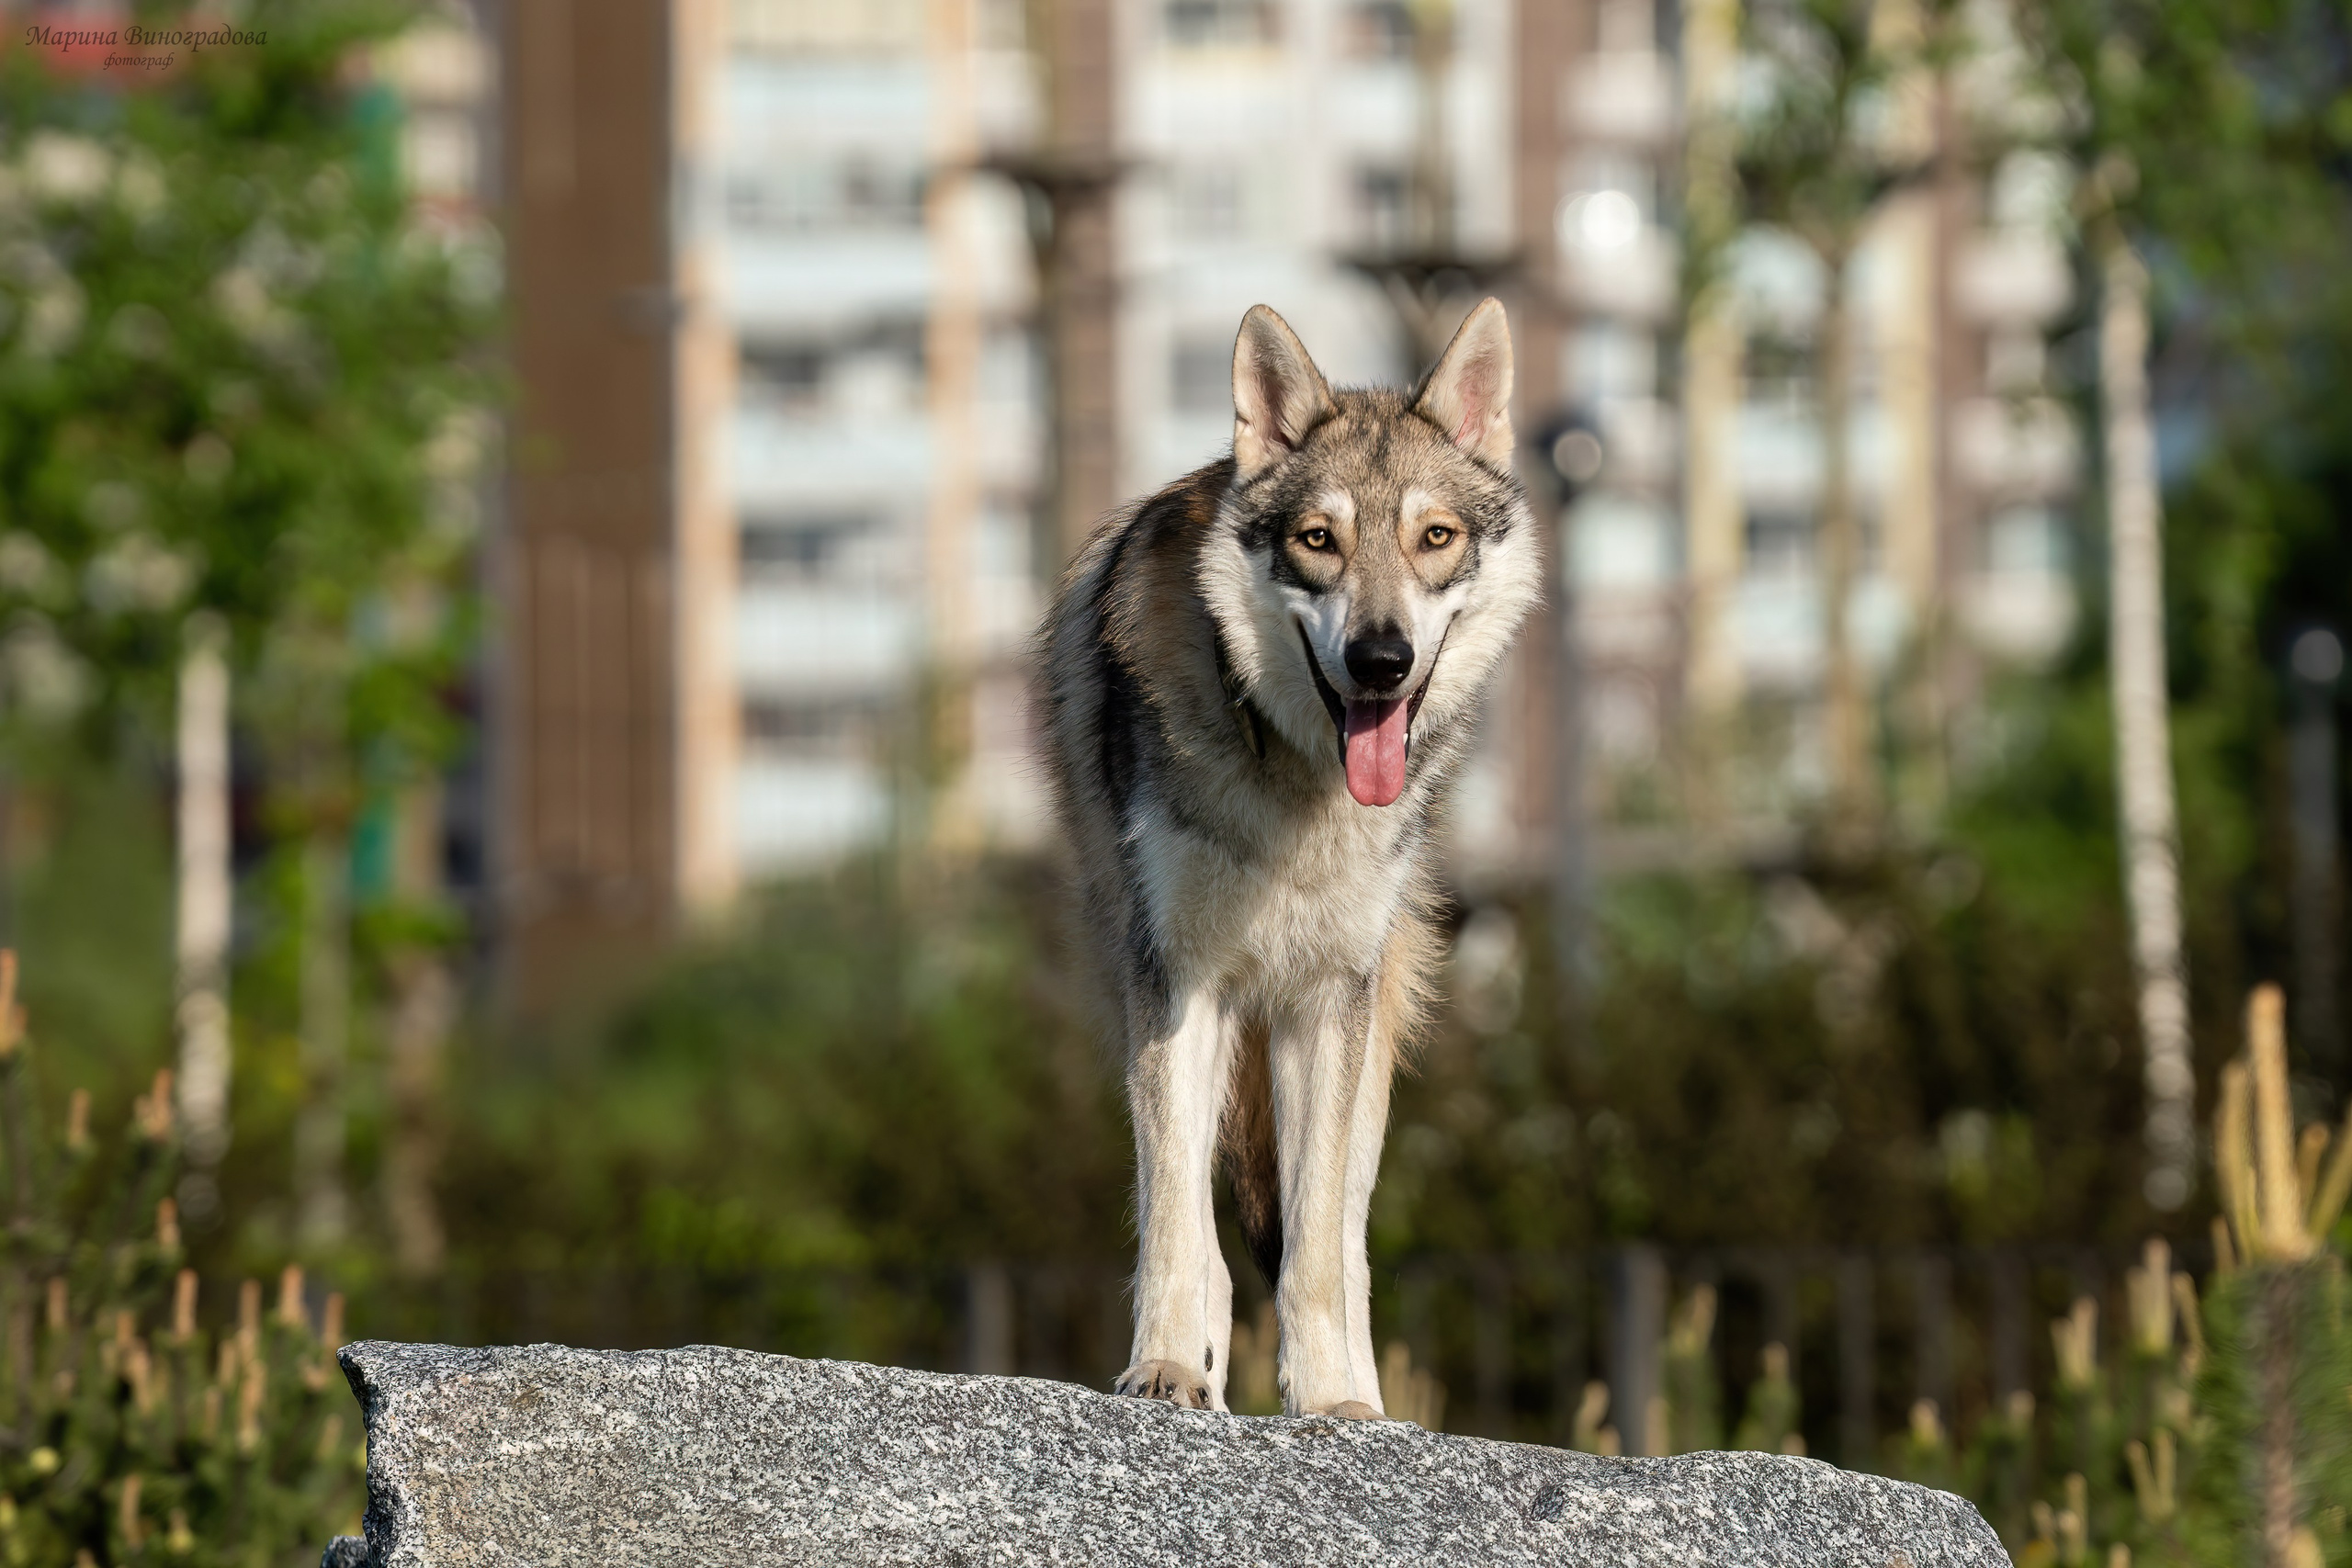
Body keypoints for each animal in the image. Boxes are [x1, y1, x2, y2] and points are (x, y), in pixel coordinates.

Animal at [1038, 298, 1542, 1418]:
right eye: (1319, 540)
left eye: (1433, 538)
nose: (1381, 661)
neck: (1296, 794)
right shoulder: (1178, 985)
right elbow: (1178, 1223)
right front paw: (1168, 1369)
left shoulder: (1326, 999)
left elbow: (1313, 1250)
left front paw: (1330, 1407)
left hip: (1370, 1038)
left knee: (1345, 1236)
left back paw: (1366, 1394)